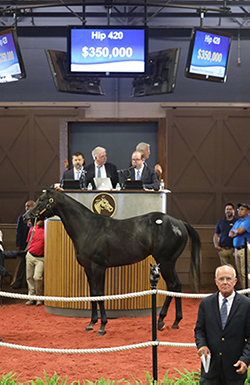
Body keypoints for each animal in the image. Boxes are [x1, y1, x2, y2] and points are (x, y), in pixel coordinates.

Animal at [23, 188, 201, 334]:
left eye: (41, 199)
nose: (26, 216)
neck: (88, 228)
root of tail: (180, 223)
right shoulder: (88, 269)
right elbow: (93, 294)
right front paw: (91, 324)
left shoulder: (99, 268)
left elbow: (100, 294)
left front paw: (102, 326)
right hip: (168, 263)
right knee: (175, 286)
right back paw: (175, 322)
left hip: (166, 262)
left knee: (173, 285)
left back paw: (161, 320)